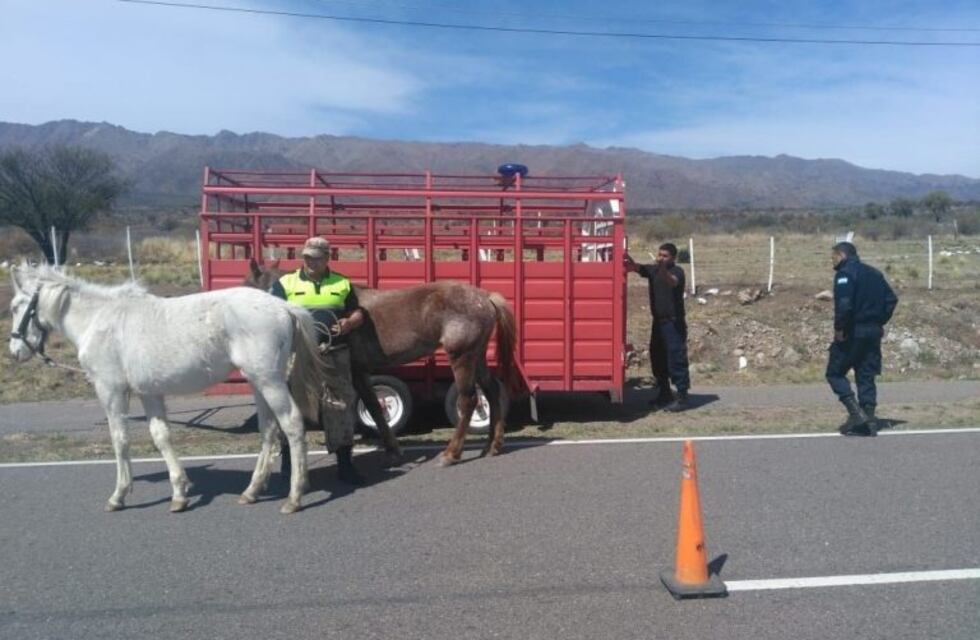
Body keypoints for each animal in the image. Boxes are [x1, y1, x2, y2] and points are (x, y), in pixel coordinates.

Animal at [8, 263, 328, 514]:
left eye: (14, 307)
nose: (14, 352)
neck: (98, 320)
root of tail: (284, 307)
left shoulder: (111, 391)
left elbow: (119, 440)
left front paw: (119, 495)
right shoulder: (149, 393)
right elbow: (161, 437)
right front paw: (179, 493)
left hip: (269, 381)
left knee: (292, 425)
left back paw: (294, 497)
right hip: (258, 383)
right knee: (269, 430)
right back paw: (252, 491)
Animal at [245, 259, 520, 466]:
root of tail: (485, 297)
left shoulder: (356, 371)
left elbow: (374, 406)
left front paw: (393, 450)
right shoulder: (360, 372)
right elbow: (375, 408)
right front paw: (392, 449)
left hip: (461, 357)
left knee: (469, 400)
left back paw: (452, 454)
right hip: (476, 356)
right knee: (492, 392)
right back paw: (492, 446)